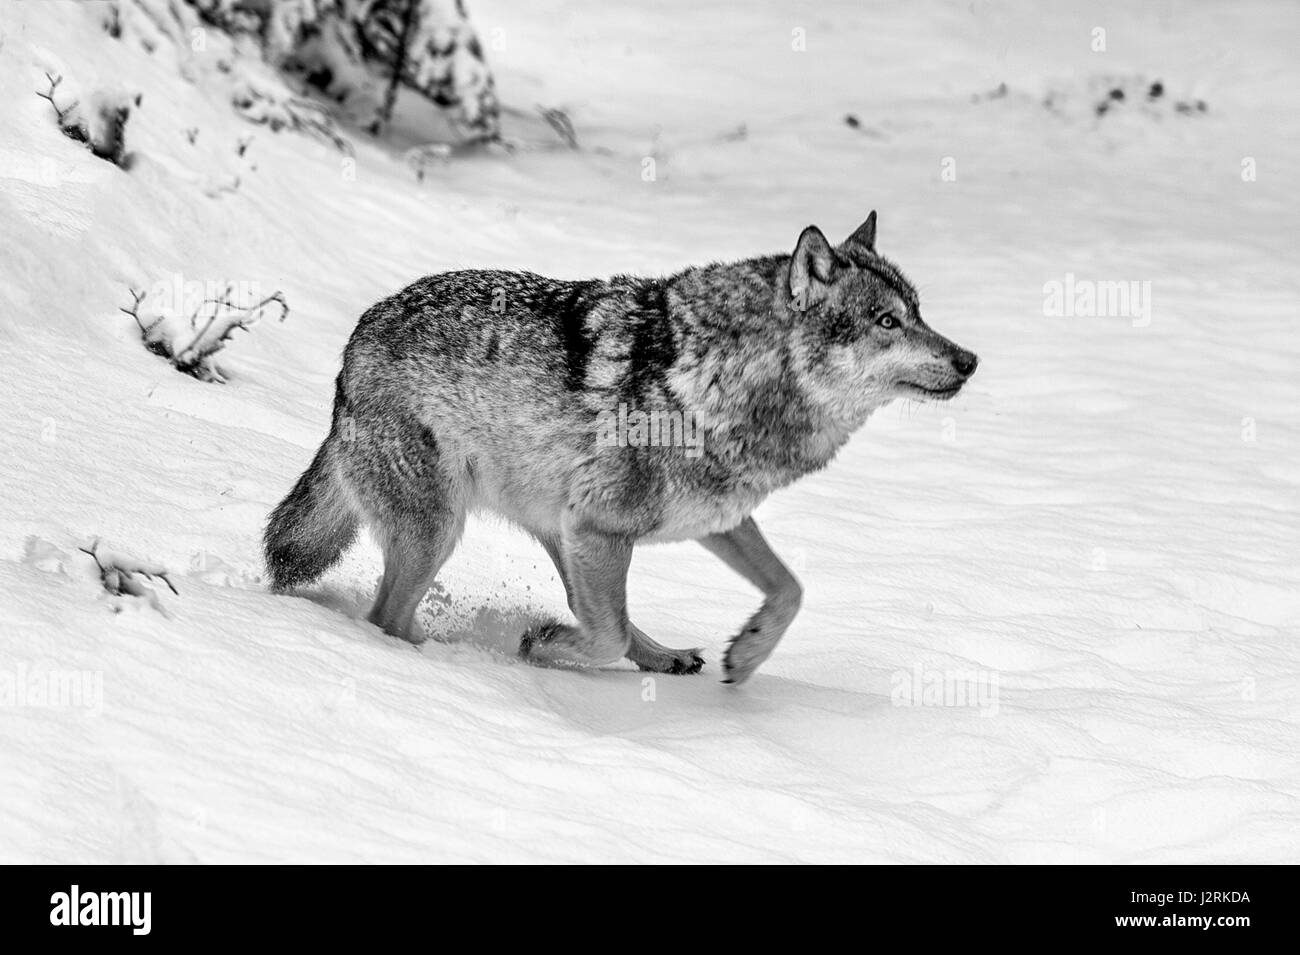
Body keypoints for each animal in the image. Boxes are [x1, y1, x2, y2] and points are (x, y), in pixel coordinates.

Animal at [261, 213, 977, 686]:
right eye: (886, 322)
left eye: (917, 312)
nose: (969, 360)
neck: (721, 378)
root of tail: (354, 343)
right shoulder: (602, 528)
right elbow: (602, 636)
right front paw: (543, 644)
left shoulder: (710, 519)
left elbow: (790, 588)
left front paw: (746, 654)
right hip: (446, 530)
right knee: (386, 618)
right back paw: (436, 660)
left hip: (554, 528)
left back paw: (663, 656)